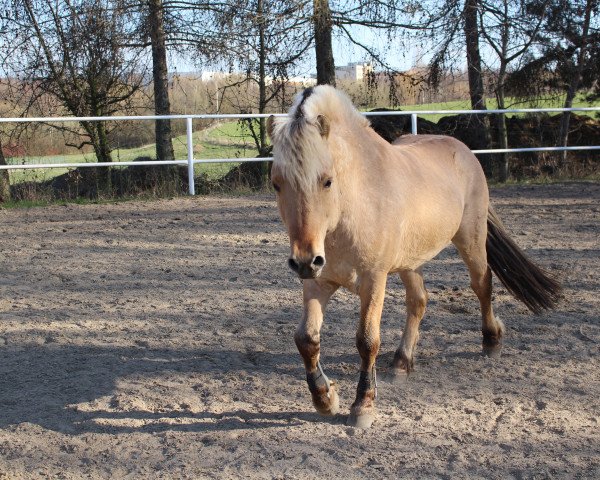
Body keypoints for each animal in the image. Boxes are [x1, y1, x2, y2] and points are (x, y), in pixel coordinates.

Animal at [264, 85, 560, 428]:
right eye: (277, 183)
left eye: (326, 181)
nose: (303, 261)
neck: (353, 205)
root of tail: (462, 150)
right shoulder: (318, 281)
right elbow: (306, 339)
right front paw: (325, 399)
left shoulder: (373, 280)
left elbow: (367, 340)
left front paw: (363, 406)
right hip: (410, 261)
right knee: (418, 301)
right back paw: (402, 362)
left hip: (470, 240)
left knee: (482, 283)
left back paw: (491, 342)